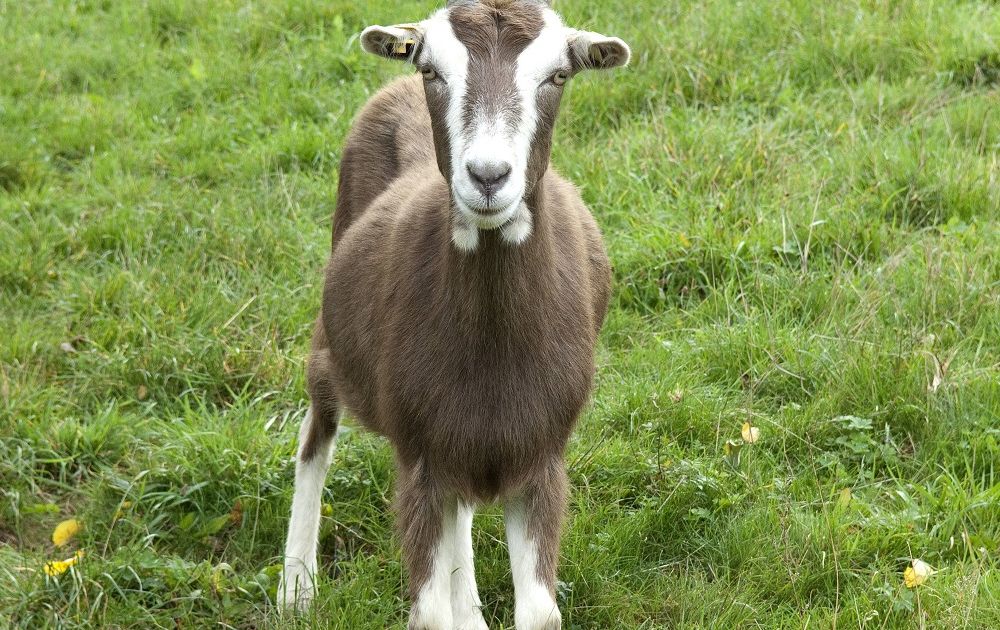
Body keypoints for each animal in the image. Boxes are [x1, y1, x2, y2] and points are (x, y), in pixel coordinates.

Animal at [278, 2, 628, 628]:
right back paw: (295, 588)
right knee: (315, 430)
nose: (487, 176)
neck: (492, 354)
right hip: (332, 342)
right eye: (432, 69)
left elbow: (539, 612)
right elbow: (429, 613)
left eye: (558, 75)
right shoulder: (419, 458)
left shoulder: (541, 457)